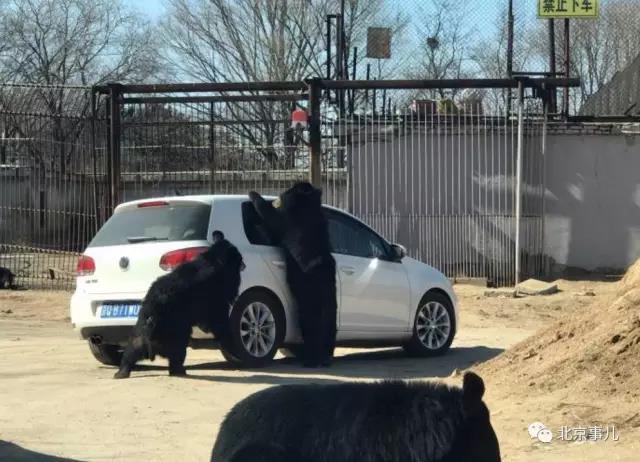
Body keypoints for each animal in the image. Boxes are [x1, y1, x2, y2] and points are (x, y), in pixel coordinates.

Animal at [114, 231, 244, 378]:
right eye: (239, 258)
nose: (244, 263)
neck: (214, 261)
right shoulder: (213, 293)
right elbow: (217, 318)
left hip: (142, 329)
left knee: (134, 347)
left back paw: (122, 371)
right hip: (174, 328)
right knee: (178, 350)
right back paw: (179, 370)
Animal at [249, 182, 340, 366]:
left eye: (289, 189)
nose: (277, 197)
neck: (307, 204)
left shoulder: (290, 219)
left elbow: (272, 218)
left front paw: (253, 194)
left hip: (308, 292)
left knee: (310, 322)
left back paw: (312, 359)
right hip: (329, 295)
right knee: (328, 322)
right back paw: (325, 356)